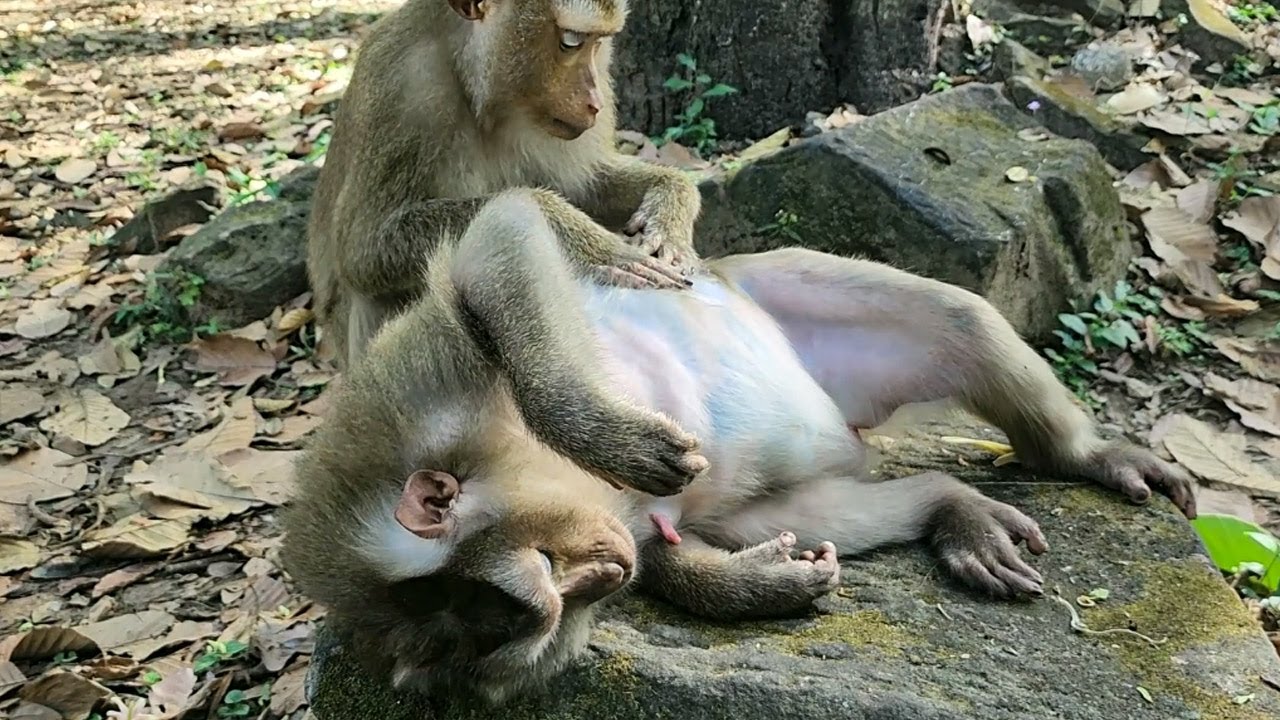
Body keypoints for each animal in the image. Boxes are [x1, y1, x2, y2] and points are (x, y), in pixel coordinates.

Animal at [280, 189, 1198, 704]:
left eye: (543, 582)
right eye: (553, 613)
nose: (604, 575)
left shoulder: (419, 388)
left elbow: (498, 243)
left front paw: (606, 434)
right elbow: (735, 527)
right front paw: (748, 583)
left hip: (780, 285)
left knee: (959, 318)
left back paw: (1082, 456)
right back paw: (952, 507)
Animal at [307, 0, 703, 368]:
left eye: (599, 42)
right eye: (570, 42)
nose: (596, 103)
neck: (472, 88)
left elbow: (586, 186)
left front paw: (670, 207)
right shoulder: (403, 89)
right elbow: (362, 251)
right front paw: (574, 234)